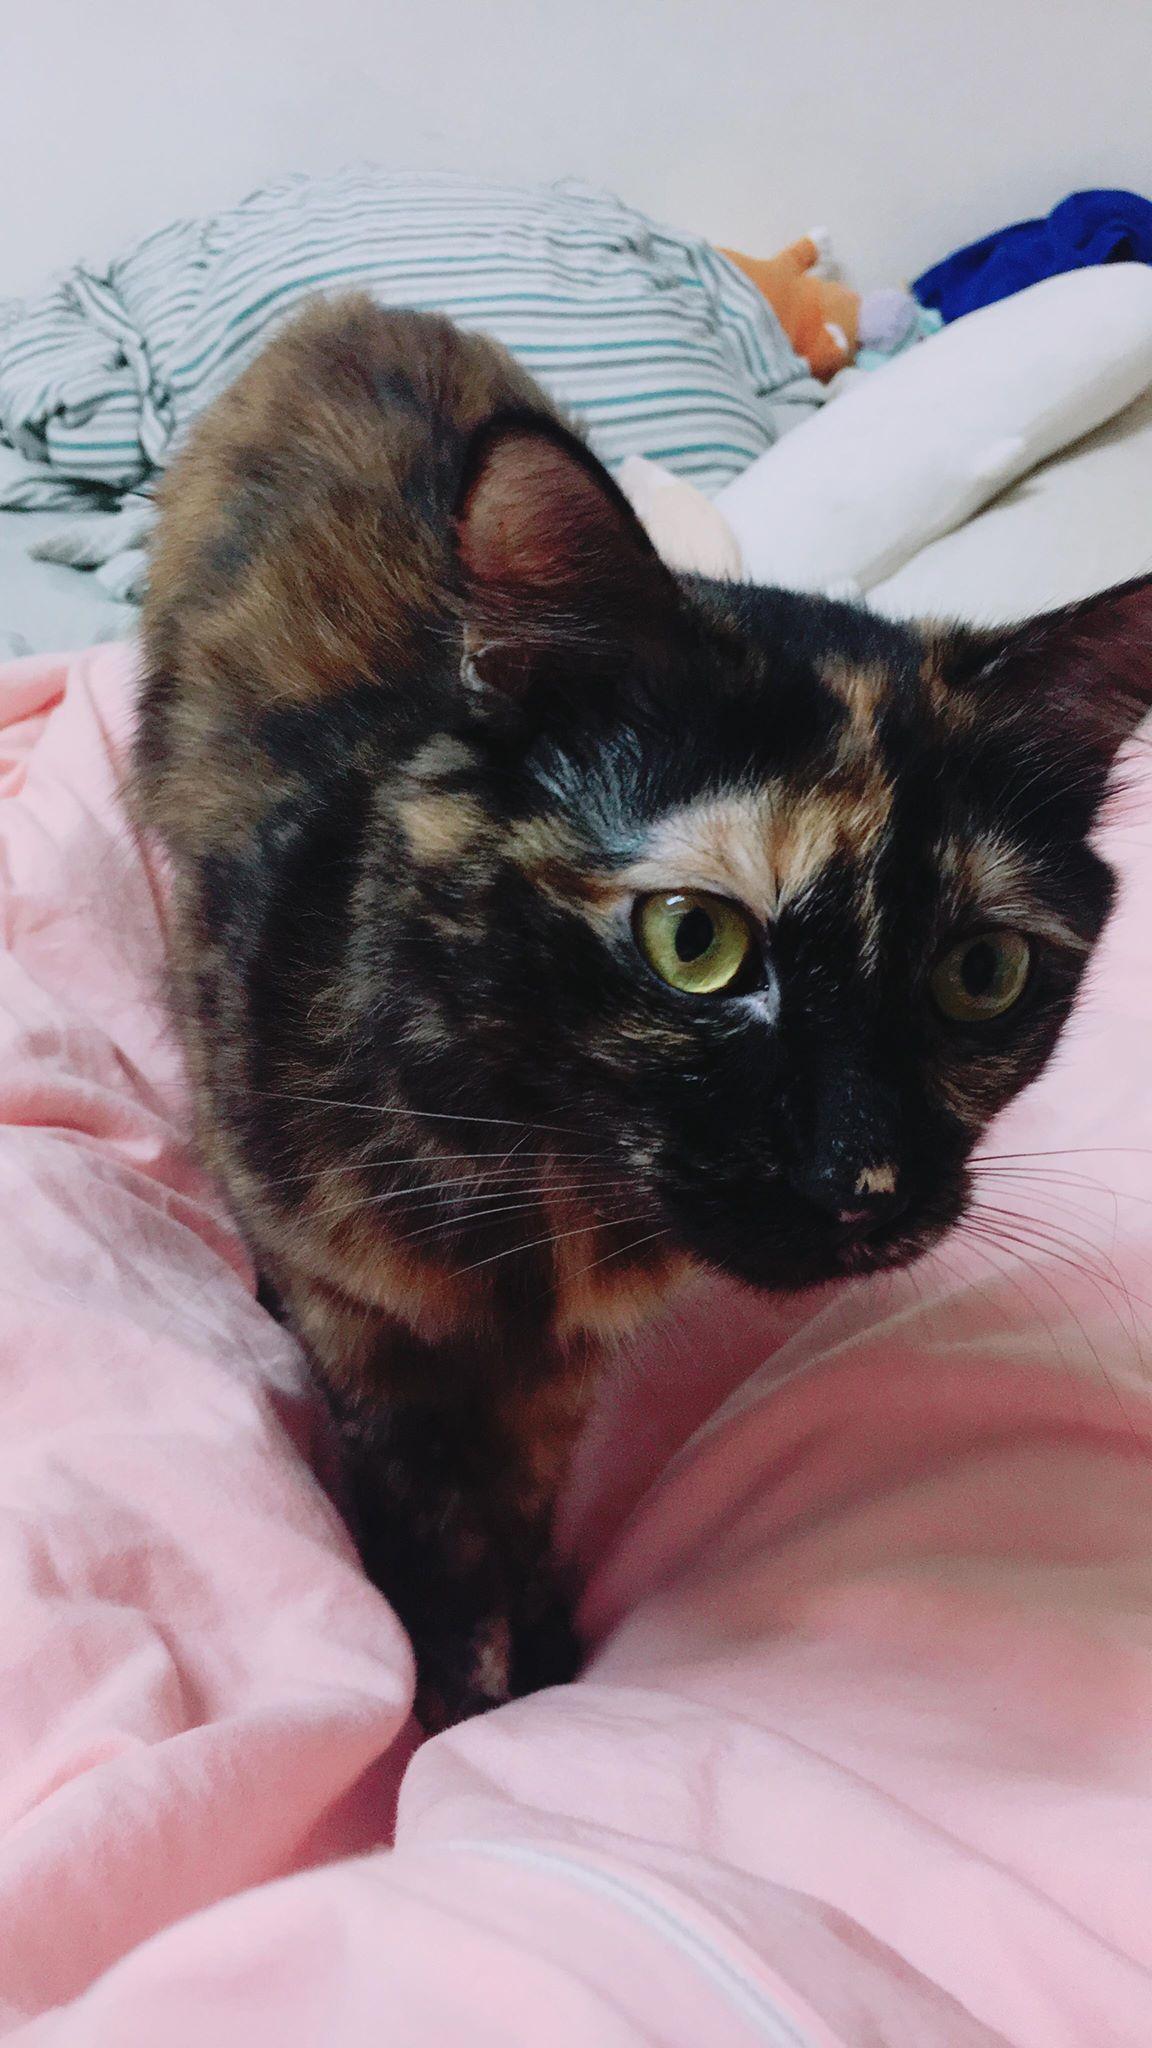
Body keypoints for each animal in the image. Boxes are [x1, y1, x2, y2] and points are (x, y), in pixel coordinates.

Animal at [133, 294, 1152, 1729]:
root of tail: (359, 308)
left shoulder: (558, 1371)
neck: (541, 1181)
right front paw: (456, 1707)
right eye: (696, 941)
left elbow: (520, 1505)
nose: (866, 1180)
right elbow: (434, 1536)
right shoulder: (371, 1334)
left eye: (983, 973)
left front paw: (545, 1640)